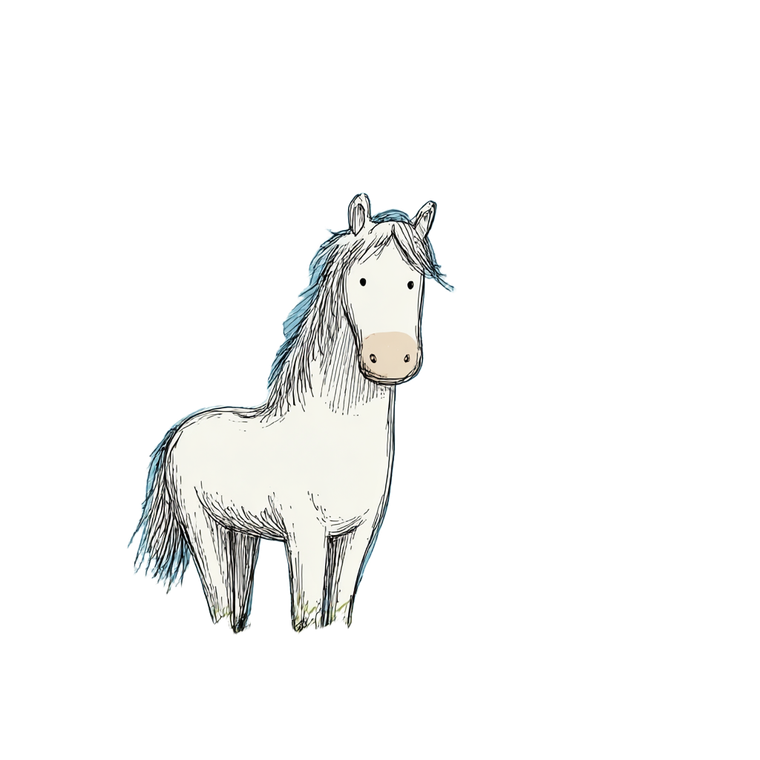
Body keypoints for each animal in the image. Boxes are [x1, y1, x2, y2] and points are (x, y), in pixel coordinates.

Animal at [127, 192, 456, 632]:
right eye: (361, 280)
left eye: (412, 281)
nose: (389, 358)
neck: (334, 435)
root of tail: (179, 431)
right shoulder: (306, 533)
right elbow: (307, 609)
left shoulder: (359, 534)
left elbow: (339, 606)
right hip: (204, 527)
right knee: (218, 595)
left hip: (241, 533)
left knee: (235, 603)